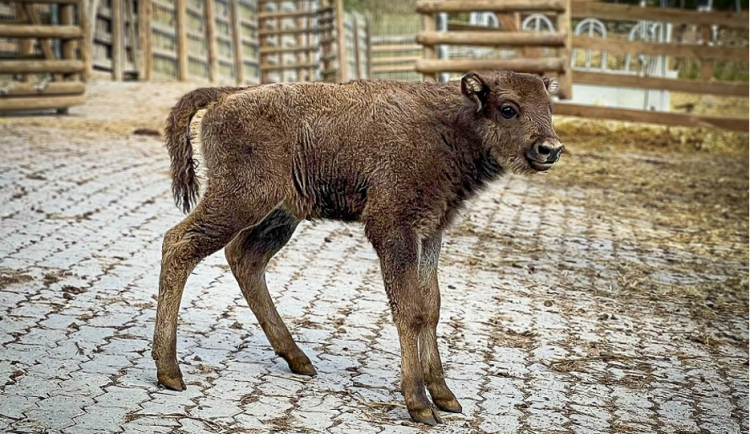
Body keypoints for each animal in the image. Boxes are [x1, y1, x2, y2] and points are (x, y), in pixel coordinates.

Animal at [154, 70, 564, 424]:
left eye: (549, 106)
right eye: (508, 108)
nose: (550, 149)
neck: (450, 124)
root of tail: (226, 96)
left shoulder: (430, 232)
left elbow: (431, 307)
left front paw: (446, 396)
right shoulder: (392, 230)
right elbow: (410, 310)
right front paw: (419, 404)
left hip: (280, 214)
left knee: (245, 259)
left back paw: (298, 359)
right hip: (240, 199)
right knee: (179, 245)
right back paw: (169, 371)